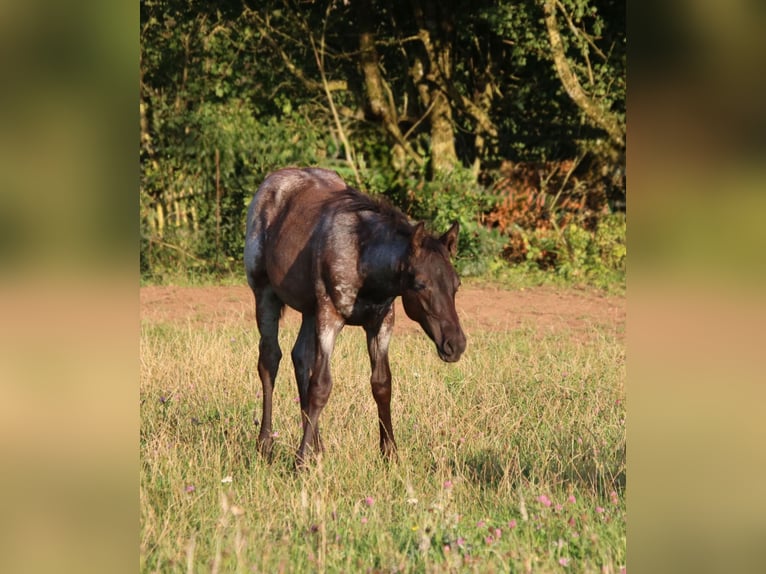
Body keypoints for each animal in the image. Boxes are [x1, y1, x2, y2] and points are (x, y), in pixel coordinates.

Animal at [244, 167, 466, 467]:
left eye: (456, 285)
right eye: (421, 284)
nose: (456, 345)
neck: (362, 256)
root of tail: (273, 179)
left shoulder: (381, 322)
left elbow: (382, 384)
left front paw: (390, 454)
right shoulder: (330, 316)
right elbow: (321, 386)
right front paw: (299, 462)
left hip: (310, 310)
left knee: (300, 358)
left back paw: (317, 447)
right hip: (265, 293)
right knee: (270, 360)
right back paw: (266, 445)